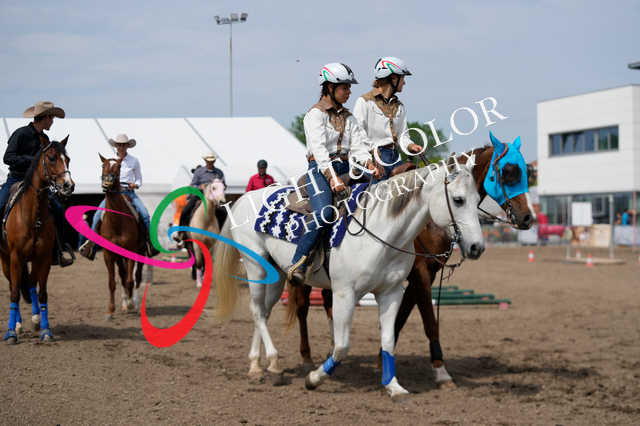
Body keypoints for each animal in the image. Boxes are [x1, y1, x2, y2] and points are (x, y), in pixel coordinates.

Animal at [1, 135, 74, 344]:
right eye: (51, 158)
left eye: (68, 159)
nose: (68, 185)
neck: (33, 216)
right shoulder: (15, 258)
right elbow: (15, 293)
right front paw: (11, 333)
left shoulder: (44, 258)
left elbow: (42, 293)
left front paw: (46, 330)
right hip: (6, 261)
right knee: (14, 286)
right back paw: (17, 325)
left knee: (32, 284)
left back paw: (35, 319)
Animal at [98, 154, 146, 319]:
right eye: (103, 165)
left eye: (118, 167)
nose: (107, 184)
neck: (117, 221)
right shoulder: (108, 254)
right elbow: (113, 282)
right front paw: (110, 311)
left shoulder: (131, 251)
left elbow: (131, 280)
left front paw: (131, 303)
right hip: (119, 256)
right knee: (123, 275)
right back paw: (125, 302)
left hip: (140, 252)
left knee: (136, 277)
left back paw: (134, 303)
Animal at [213, 157, 485, 399]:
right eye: (458, 200)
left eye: (477, 199)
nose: (477, 247)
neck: (381, 230)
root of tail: (244, 199)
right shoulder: (345, 293)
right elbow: (342, 346)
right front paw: (313, 379)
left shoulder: (391, 292)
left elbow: (388, 340)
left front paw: (393, 386)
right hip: (256, 268)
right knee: (258, 311)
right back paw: (273, 362)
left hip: (276, 274)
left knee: (263, 311)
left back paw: (257, 367)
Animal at [293, 132, 535, 387]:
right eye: (507, 171)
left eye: (526, 171)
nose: (527, 218)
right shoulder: (421, 274)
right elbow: (429, 321)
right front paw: (440, 370)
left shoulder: (420, 275)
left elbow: (400, 318)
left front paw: (382, 361)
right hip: (304, 278)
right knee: (302, 307)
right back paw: (307, 359)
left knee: (328, 303)